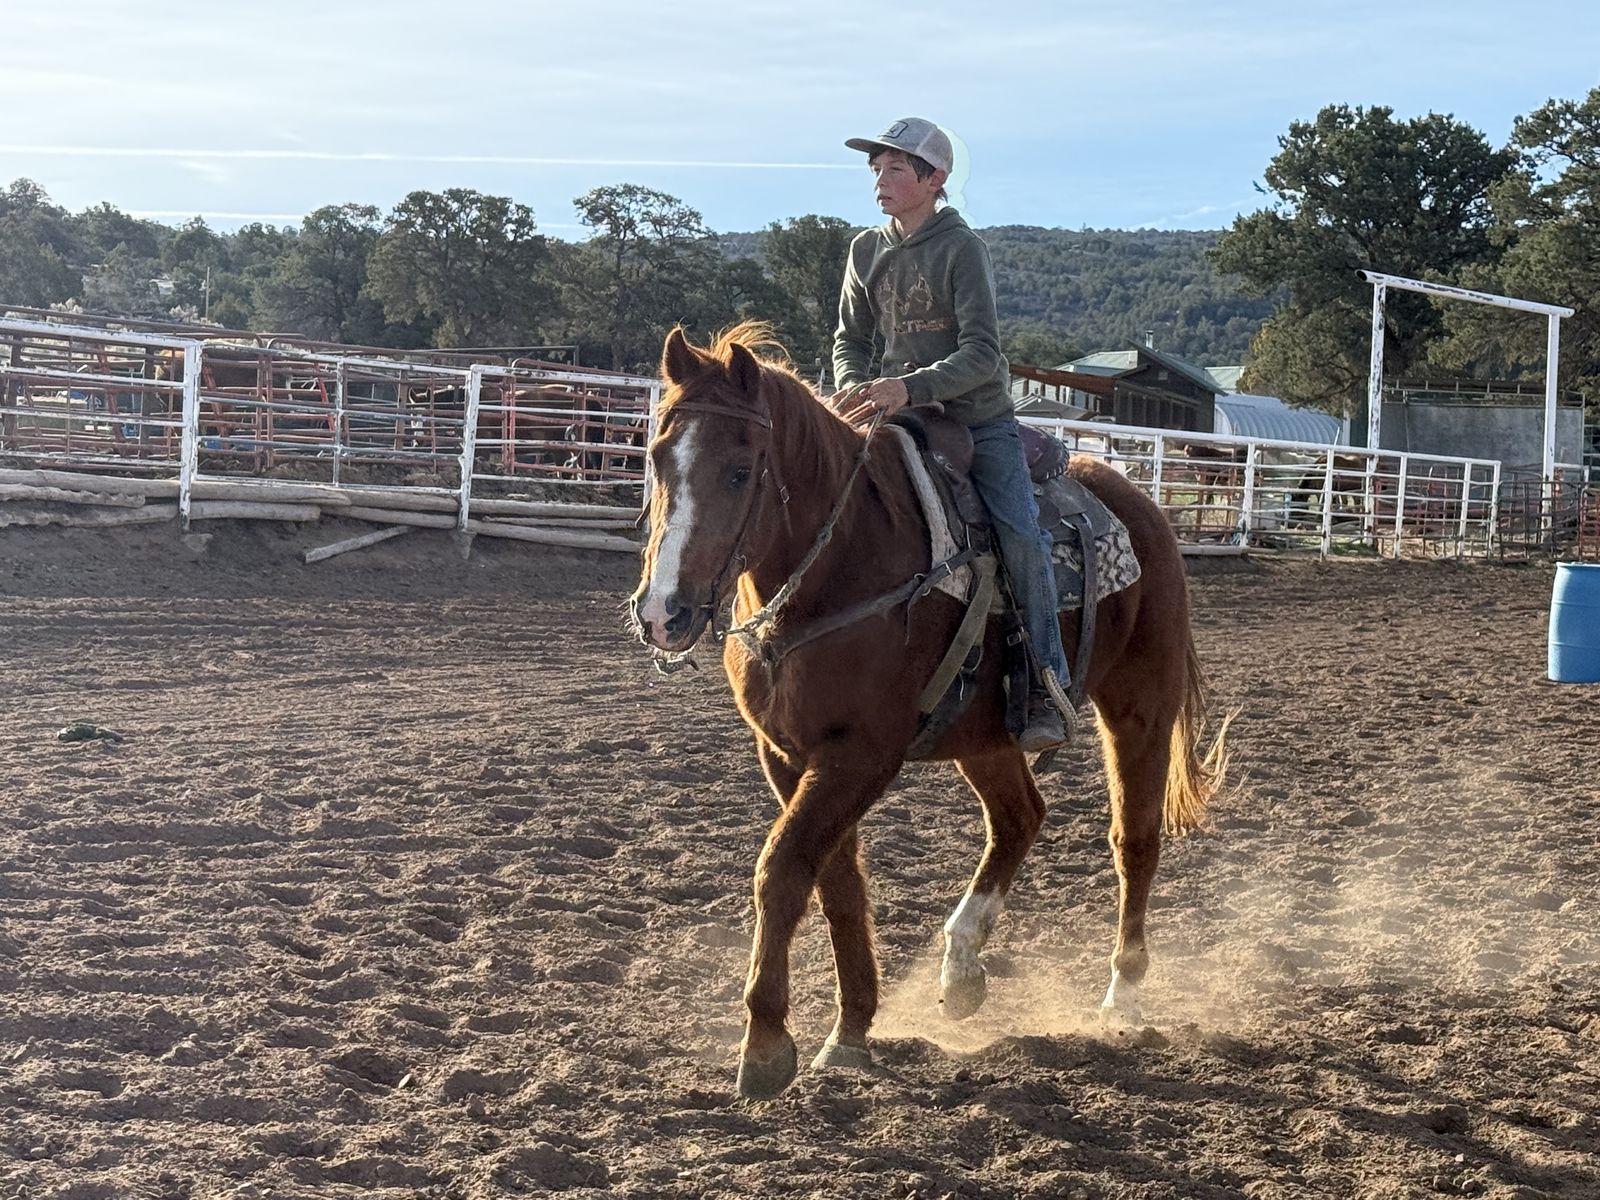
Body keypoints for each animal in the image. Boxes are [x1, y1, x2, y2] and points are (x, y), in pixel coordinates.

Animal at [630, 323, 1229, 1101]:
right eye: (656, 458)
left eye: (739, 471)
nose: (662, 613)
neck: (838, 571)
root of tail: (1141, 504)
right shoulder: (789, 754)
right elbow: (837, 883)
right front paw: (851, 1031)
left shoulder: (862, 753)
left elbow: (783, 870)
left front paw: (764, 1044)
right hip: (986, 733)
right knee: (1020, 817)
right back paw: (962, 967)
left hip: (1139, 704)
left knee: (1135, 839)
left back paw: (1121, 995)